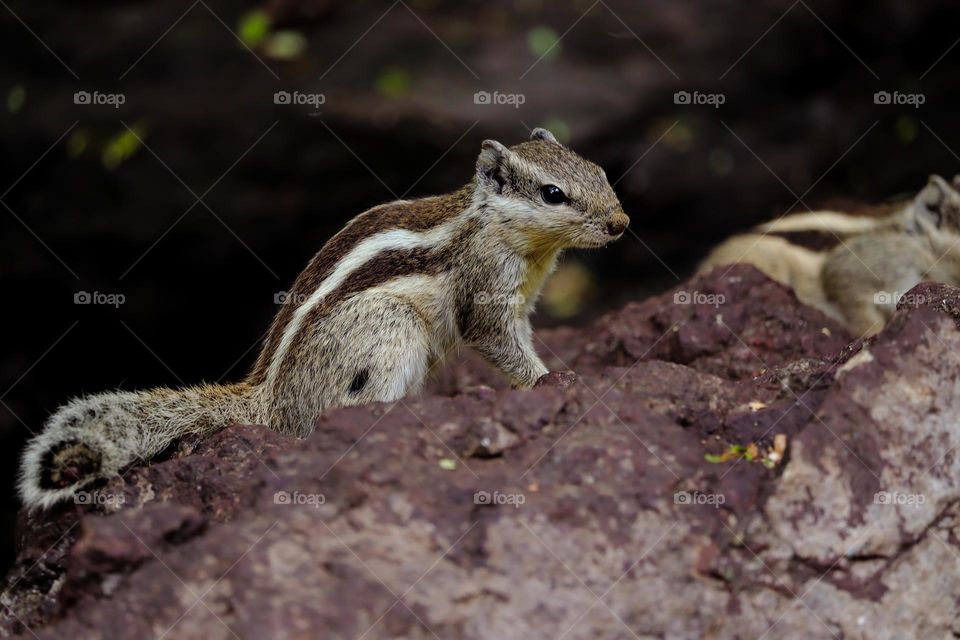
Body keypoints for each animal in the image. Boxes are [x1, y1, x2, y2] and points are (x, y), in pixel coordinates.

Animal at [19, 128, 630, 509]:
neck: (498, 224)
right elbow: (501, 344)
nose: (621, 223)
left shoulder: (521, 302)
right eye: (553, 194)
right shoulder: (486, 295)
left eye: (599, 170)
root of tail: (267, 400)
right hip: (386, 328)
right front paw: (548, 380)